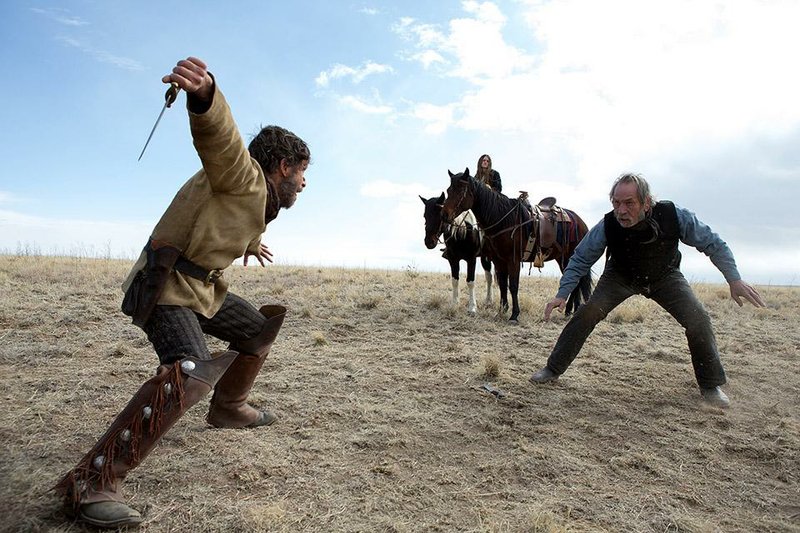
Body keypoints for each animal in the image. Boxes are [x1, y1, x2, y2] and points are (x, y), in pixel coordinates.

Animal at [440, 168, 592, 322]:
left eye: (461, 190)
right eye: (448, 190)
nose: (444, 215)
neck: (504, 220)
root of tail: (581, 223)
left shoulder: (512, 260)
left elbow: (512, 285)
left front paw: (514, 314)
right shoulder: (498, 260)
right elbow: (502, 284)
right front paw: (502, 310)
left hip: (568, 257)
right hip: (563, 258)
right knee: (576, 283)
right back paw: (570, 310)